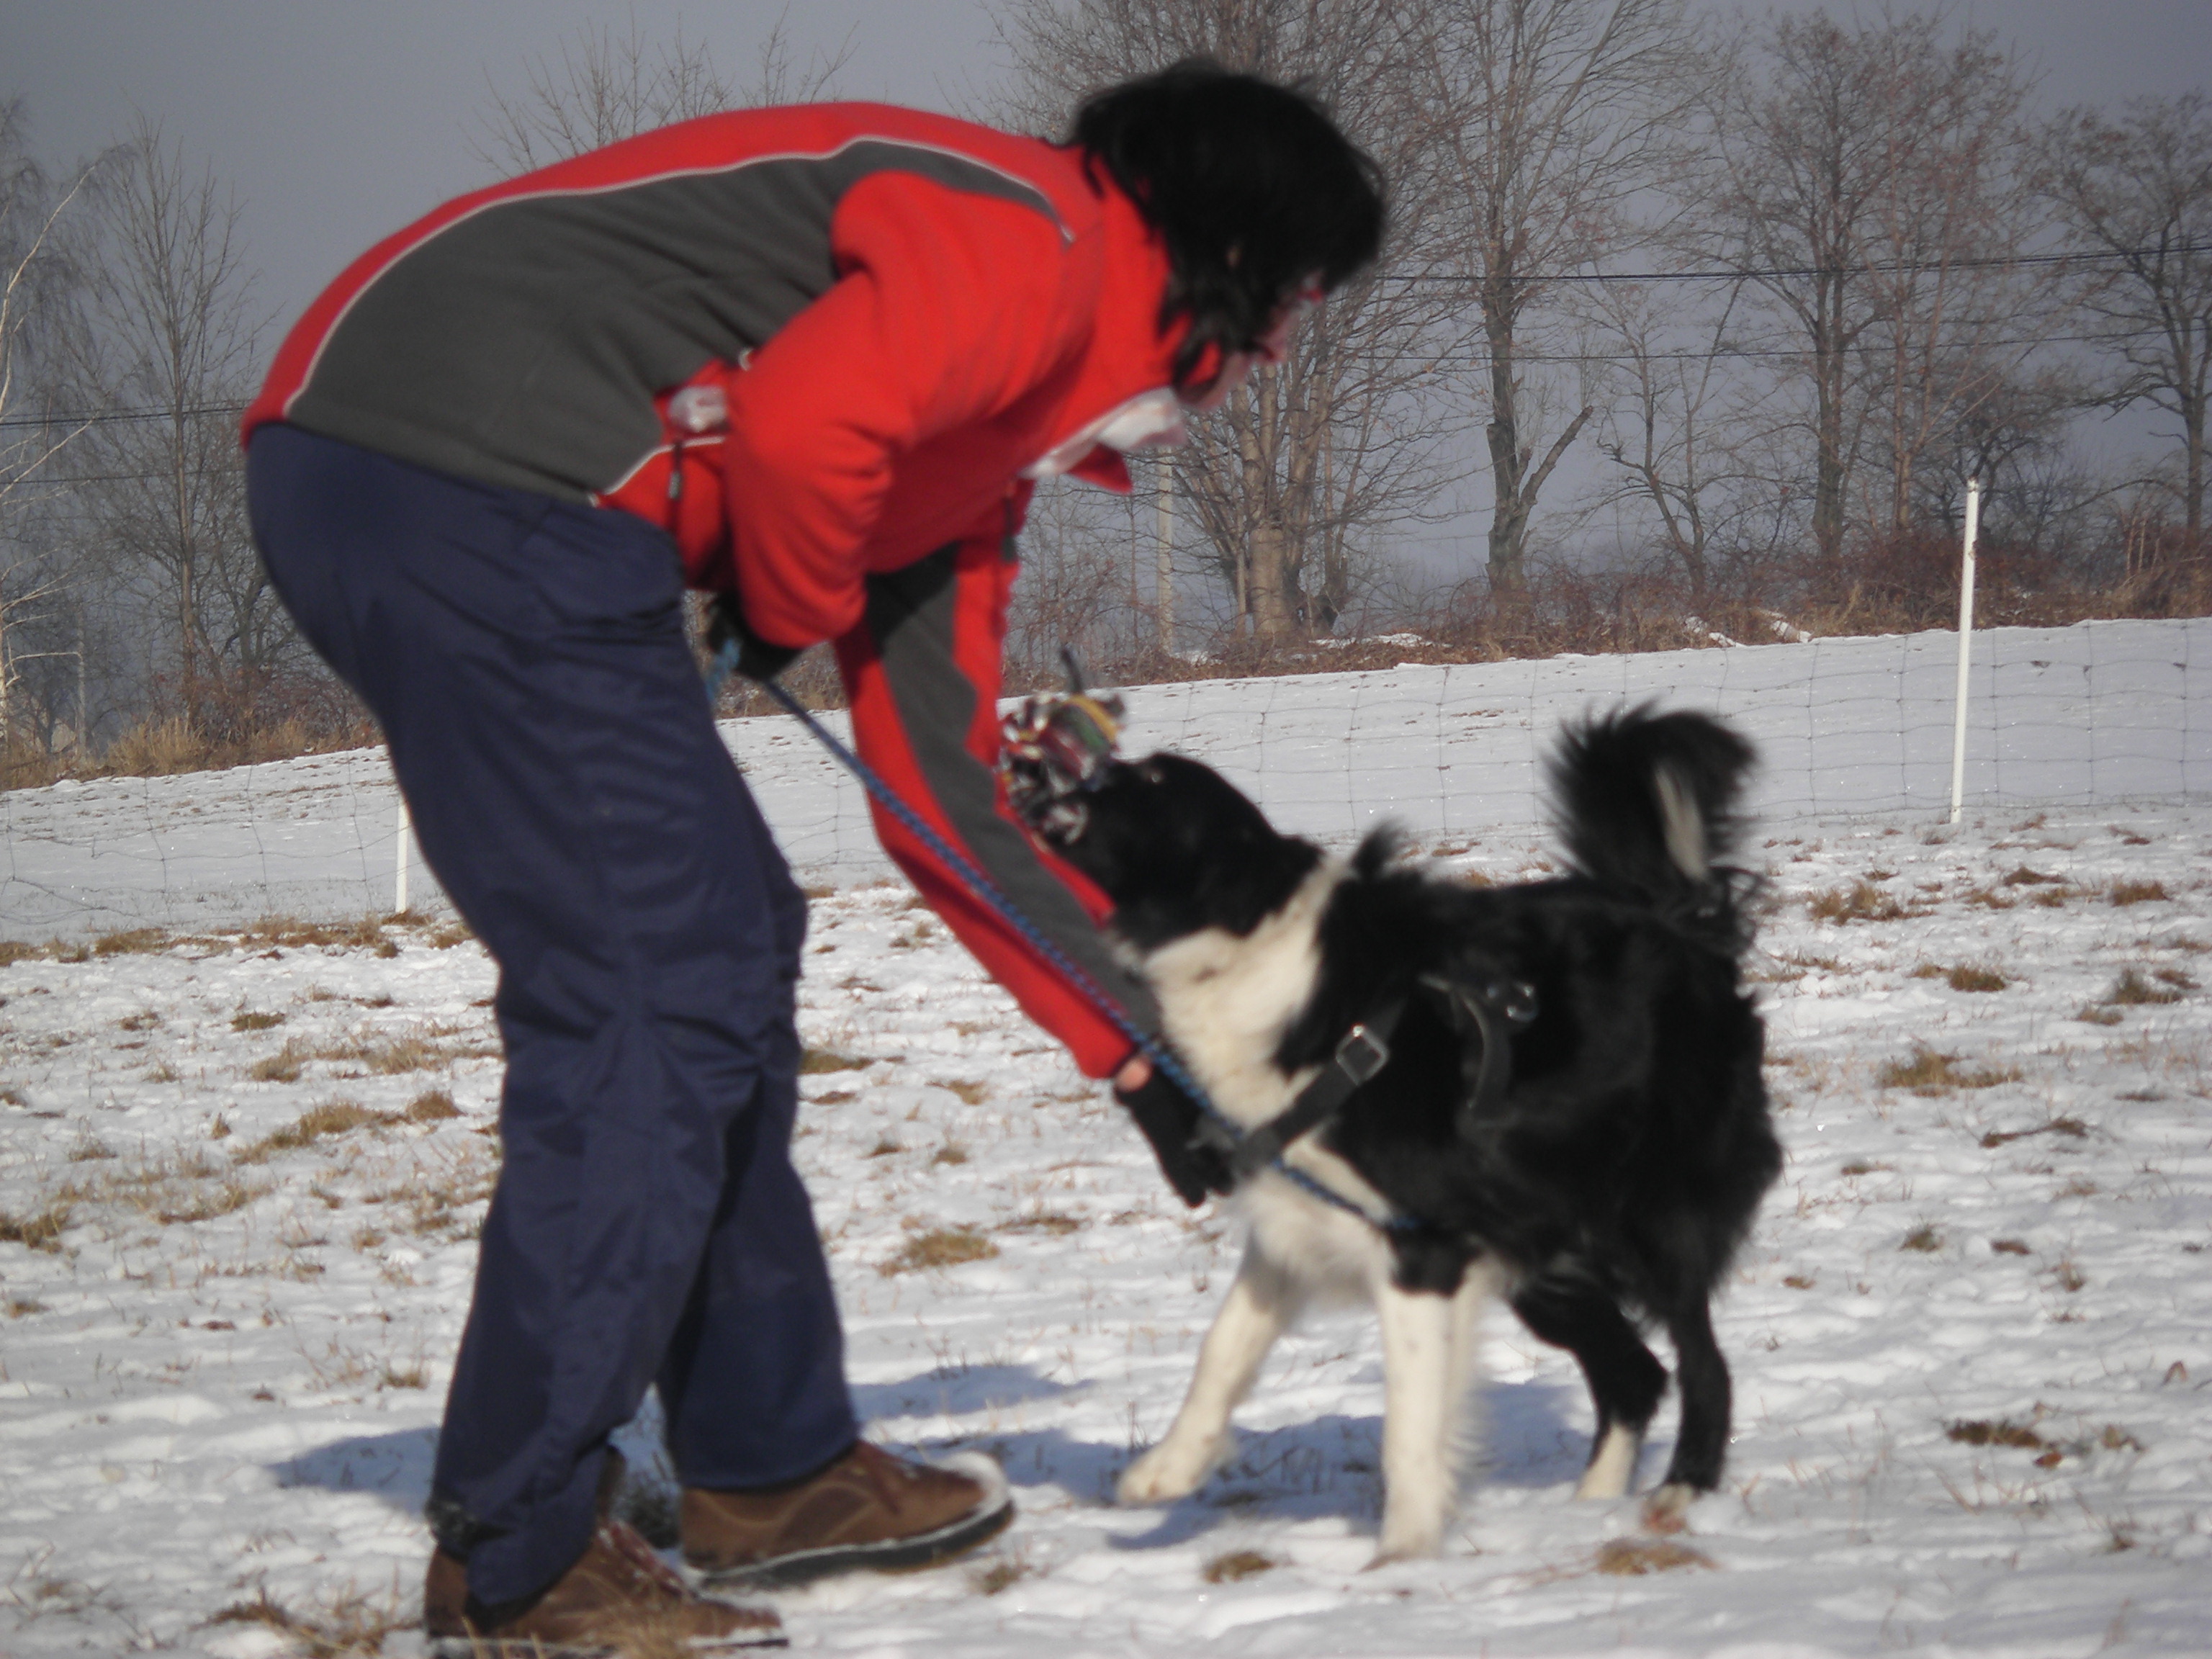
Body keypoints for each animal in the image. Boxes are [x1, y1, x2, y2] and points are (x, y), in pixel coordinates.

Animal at [1017, 708, 1778, 1565]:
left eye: (1147, 778)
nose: (1033, 763)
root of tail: (1679, 925)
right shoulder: (1298, 1227)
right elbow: (1222, 1350)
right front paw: (1169, 1469)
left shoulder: (1423, 1246)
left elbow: (1409, 1422)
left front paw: (1402, 1562)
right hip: (1539, 1248)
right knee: (1635, 1374)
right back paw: (1589, 1511)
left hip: (1653, 1220)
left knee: (1702, 1363)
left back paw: (1681, 1491)